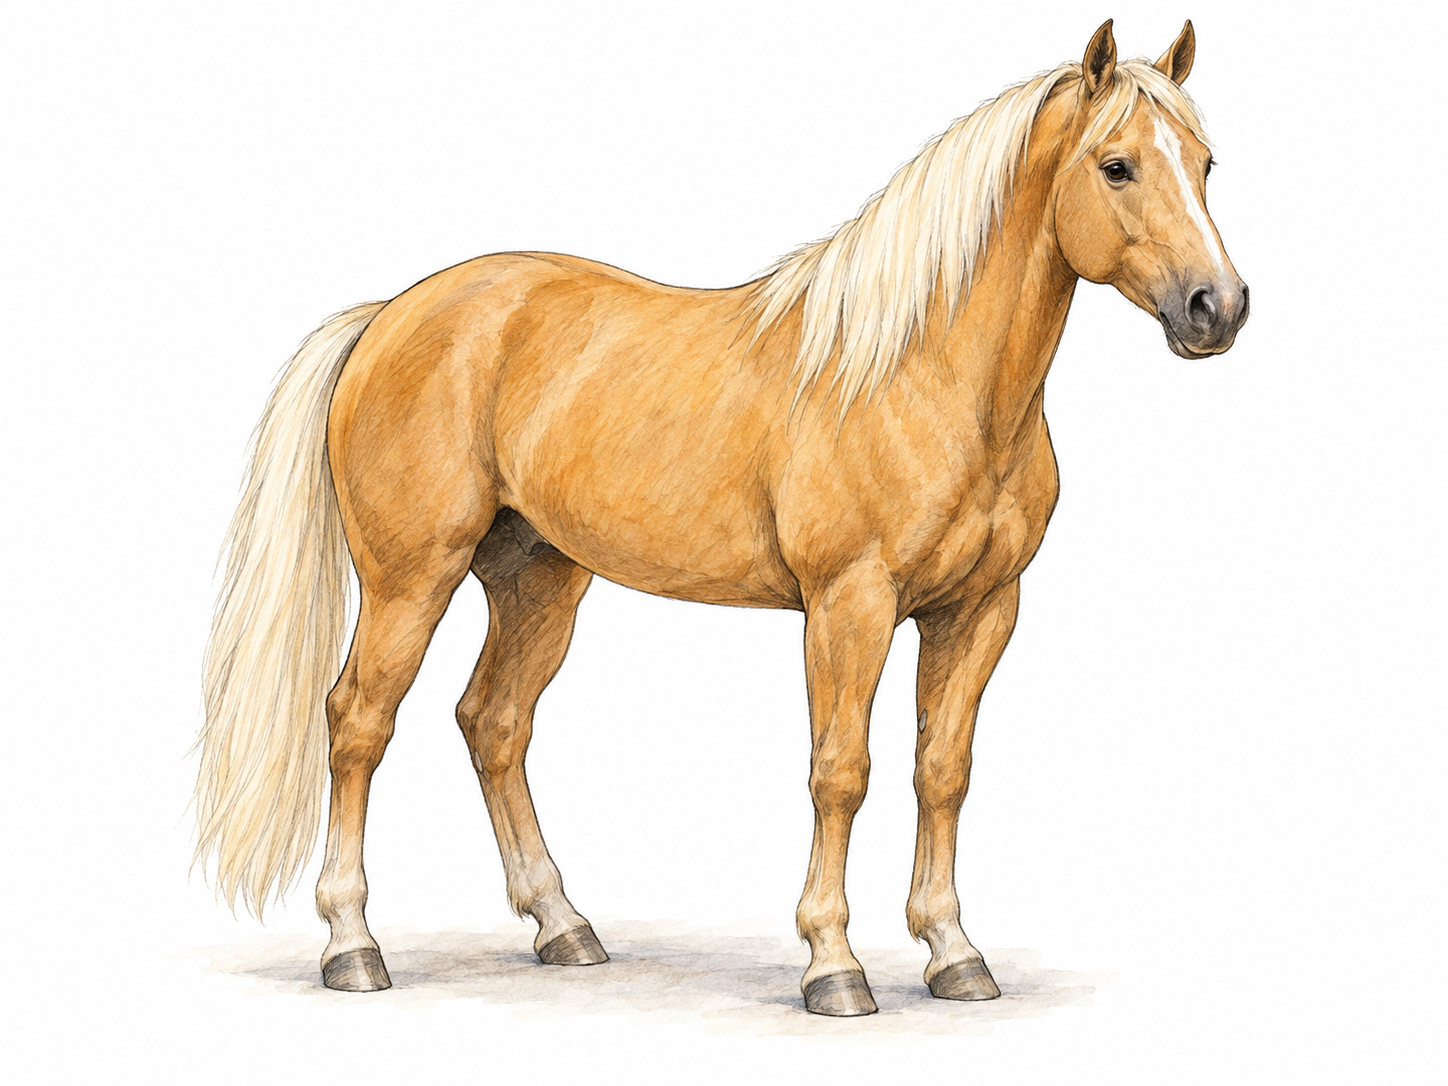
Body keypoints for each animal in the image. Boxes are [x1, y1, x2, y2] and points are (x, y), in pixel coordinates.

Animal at [194, 19, 1248, 1016]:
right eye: (1117, 165)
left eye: (1204, 163)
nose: (1219, 307)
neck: (924, 375)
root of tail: (387, 317)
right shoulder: (850, 606)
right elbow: (842, 771)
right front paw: (833, 965)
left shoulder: (982, 609)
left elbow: (942, 770)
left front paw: (954, 953)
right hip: (411, 577)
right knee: (358, 722)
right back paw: (352, 946)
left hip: (538, 581)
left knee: (494, 722)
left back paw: (563, 925)